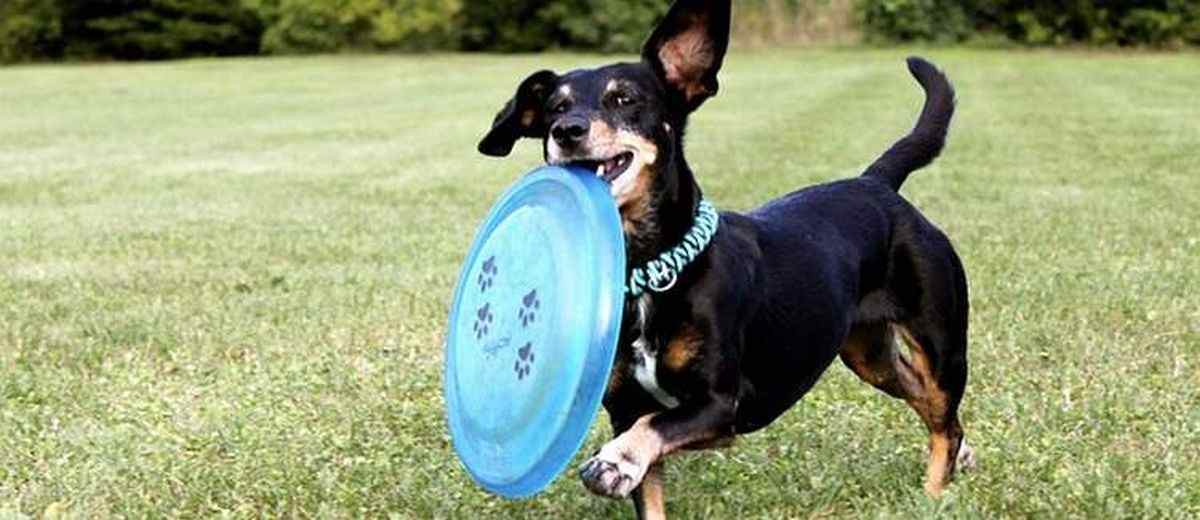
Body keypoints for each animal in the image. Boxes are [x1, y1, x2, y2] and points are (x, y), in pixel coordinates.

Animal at [472, 0, 969, 513]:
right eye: (556, 106)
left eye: (625, 99)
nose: (566, 130)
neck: (651, 273)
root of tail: (875, 184)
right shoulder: (628, 406)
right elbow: (647, 468)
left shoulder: (721, 404)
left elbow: (652, 428)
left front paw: (613, 462)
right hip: (869, 354)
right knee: (926, 399)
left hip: (942, 342)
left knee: (944, 416)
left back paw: (935, 492)